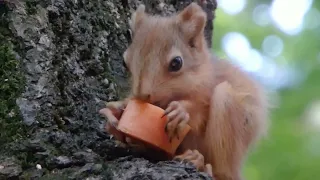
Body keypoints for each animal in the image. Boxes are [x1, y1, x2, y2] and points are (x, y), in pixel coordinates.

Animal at [99, 1, 268, 180]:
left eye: (176, 63)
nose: (143, 96)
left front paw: (181, 111)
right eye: (125, 63)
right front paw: (115, 111)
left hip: (230, 117)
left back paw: (200, 162)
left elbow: (200, 110)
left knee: (222, 171)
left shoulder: (208, 87)